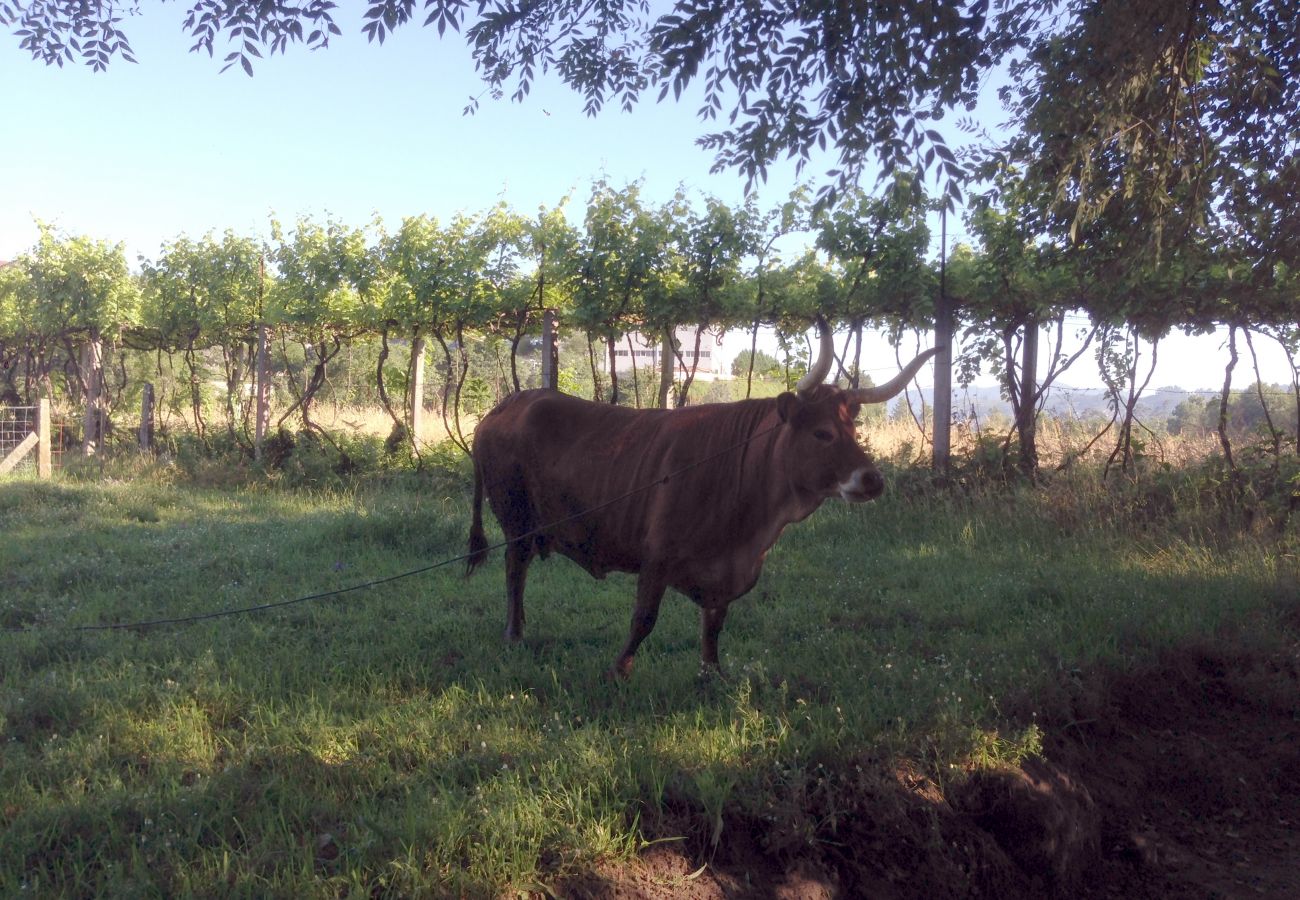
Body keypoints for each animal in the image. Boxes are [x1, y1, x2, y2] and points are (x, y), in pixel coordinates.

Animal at [467, 323, 935, 676]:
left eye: (853, 430)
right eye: (822, 433)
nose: (873, 479)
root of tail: (509, 403)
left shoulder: (727, 572)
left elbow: (714, 625)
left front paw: (712, 673)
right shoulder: (656, 556)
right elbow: (644, 619)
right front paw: (619, 669)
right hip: (516, 520)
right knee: (514, 569)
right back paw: (514, 633)